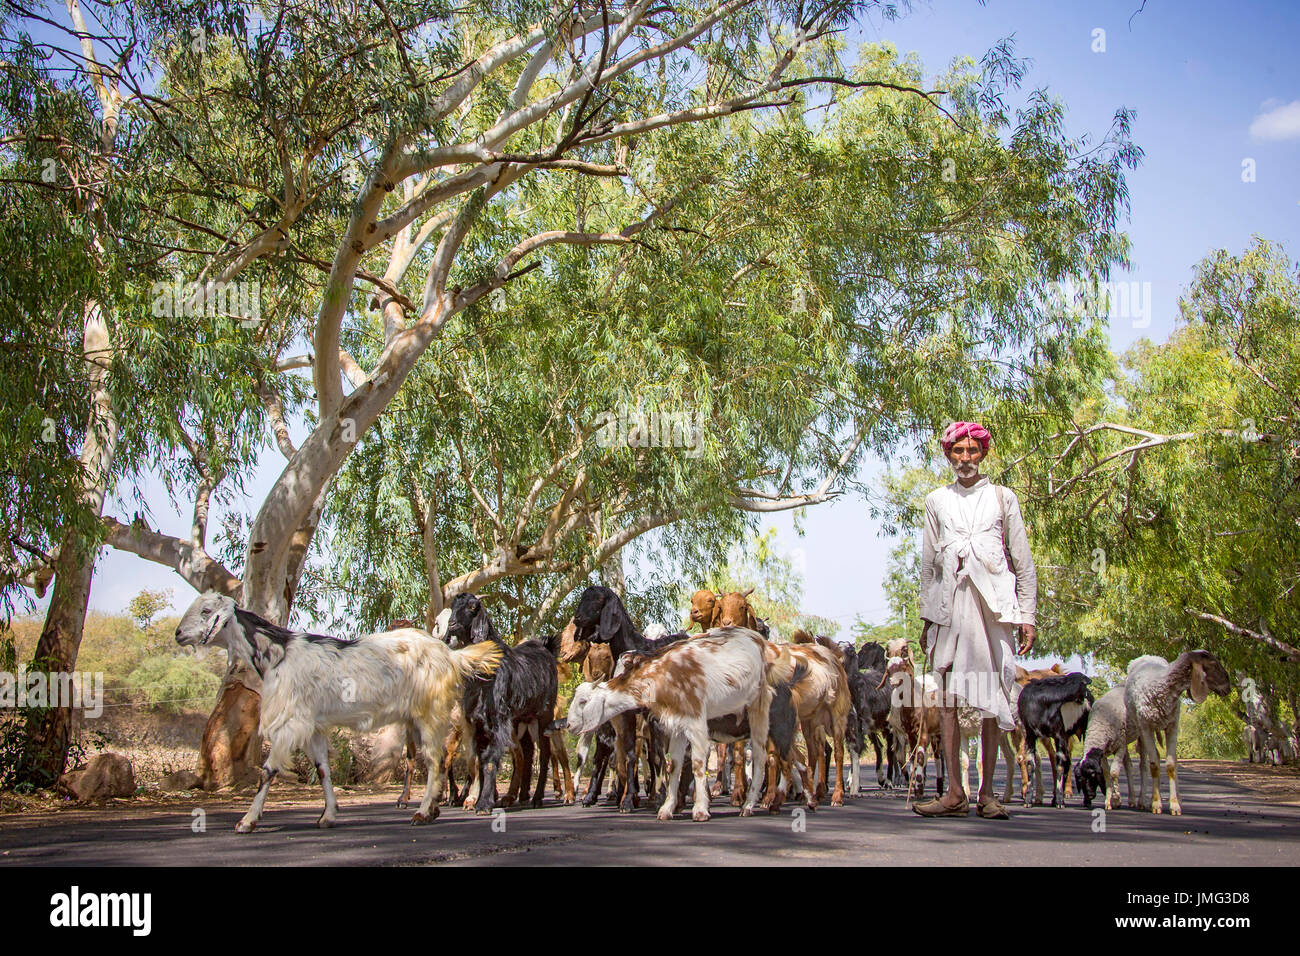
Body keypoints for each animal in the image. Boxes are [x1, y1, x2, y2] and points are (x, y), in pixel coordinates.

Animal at [180, 590, 504, 832]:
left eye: (206, 610)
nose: (179, 634)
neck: (277, 653)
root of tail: (449, 656)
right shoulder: (313, 725)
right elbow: (322, 768)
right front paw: (328, 815)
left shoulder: (290, 722)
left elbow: (268, 770)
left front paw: (247, 820)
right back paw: (434, 807)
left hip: (431, 713)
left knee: (437, 760)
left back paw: (424, 812)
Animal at [1019, 671, 1092, 806]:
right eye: (1083, 686)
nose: (1086, 700)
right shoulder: (1030, 735)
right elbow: (1031, 765)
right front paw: (1028, 800)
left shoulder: (1060, 735)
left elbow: (1059, 766)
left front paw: (1060, 801)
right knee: (1068, 762)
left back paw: (1084, 800)